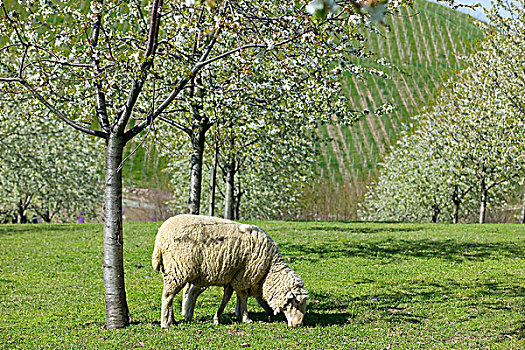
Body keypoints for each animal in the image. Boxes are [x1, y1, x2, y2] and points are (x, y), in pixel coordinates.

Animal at [151, 213, 308, 328]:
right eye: (296, 303)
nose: (298, 325)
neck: (269, 269)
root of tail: (160, 238)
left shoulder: (234, 276)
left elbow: (228, 297)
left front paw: (219, 317)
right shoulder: (244, 276)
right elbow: (242, 296)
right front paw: (245, 317)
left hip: (172, 272)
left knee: (172, 297)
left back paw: (172, 320)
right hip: (178, 270)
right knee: (167, 297)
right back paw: (165, 324)